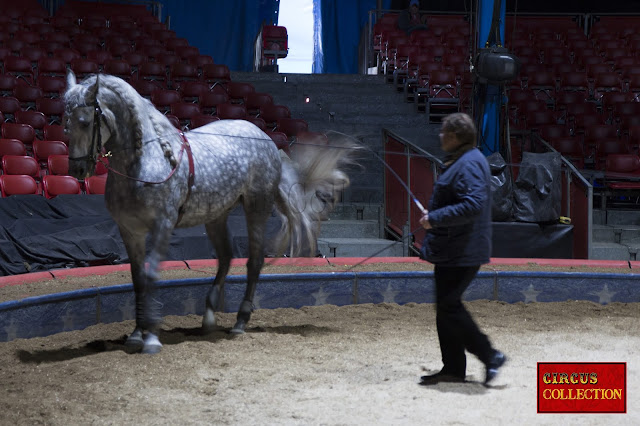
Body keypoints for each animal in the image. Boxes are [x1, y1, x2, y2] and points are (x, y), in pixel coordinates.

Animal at [63, 72, 356, 352]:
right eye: (65, 123)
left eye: (85, 121)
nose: (78, 170)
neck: (148, 160)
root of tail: (266, 139)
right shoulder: (129, 230)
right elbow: (138, 279)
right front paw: (136, 335)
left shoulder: (162, 225)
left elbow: (152, 274)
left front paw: (152, 337)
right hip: (217, 216)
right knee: (226, 257)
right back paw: (209, 317)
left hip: (257, 208)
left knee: (254, 261)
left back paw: (240, 322)